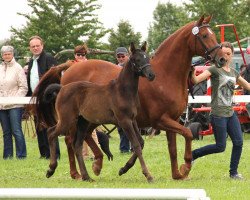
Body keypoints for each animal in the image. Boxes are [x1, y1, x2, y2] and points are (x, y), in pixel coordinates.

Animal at [43, 42, 156, 181]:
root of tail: (62, 88)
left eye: (148, 58)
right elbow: (136, 145)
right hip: (67, 120)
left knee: (77, 145)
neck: (122, 91)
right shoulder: (124, 121)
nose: (151, 75)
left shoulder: (133, 119)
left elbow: (141, 142)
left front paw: (123, 169)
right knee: (51, 133)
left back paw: (86, 176)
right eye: (137, 59)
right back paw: (51, 169)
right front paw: (148, 175)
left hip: (82, 122)